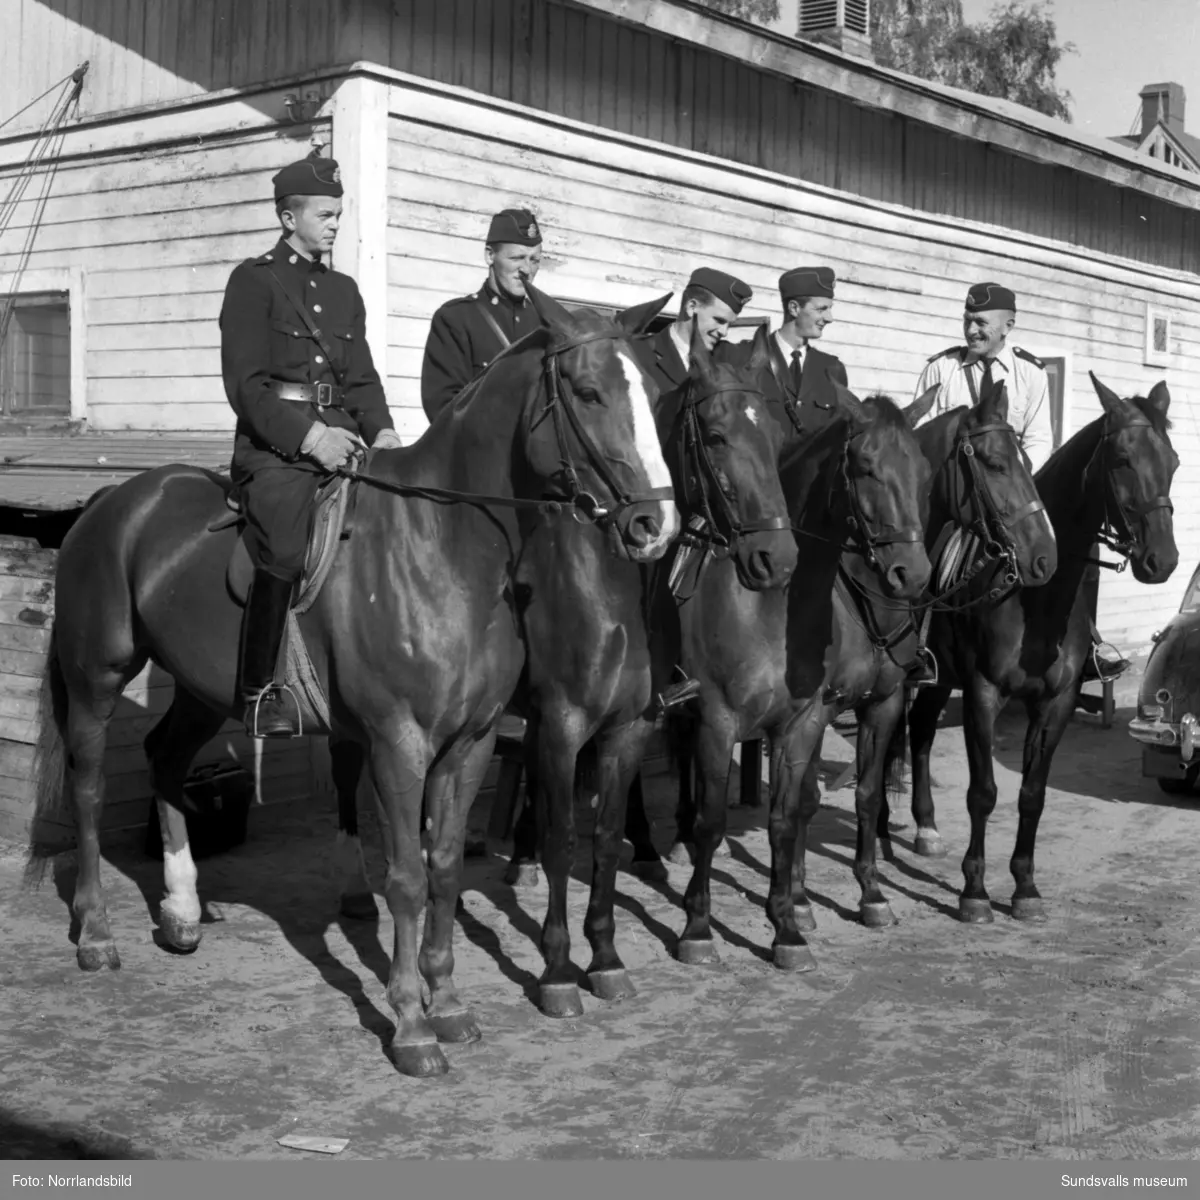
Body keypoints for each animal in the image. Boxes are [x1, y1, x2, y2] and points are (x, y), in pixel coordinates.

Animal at [25, 285, 686, 1084]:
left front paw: (449, 1004)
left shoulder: (471, 744)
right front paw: (411, 1026)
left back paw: (181, 912)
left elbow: (442, 870)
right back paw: (95, 932)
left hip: (202, 689)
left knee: (164, 758)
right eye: (588, 392)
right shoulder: (401, 744)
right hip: (96, 678)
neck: (442, 547)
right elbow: (403, 878)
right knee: (90, 790)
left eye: (655, 393)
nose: (656, 524)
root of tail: (114, 502)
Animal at [883, 374, 1180, 926]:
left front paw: (1024, 887)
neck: (1038, 599)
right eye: (1122, 459)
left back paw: (926, 828)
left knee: (922, 734)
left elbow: (1032, 795)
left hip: (939, 679)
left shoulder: (1055, 702)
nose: (1163, 560)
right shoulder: (983, 694)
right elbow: (983, 794)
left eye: (1171, 461)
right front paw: (975, 891)